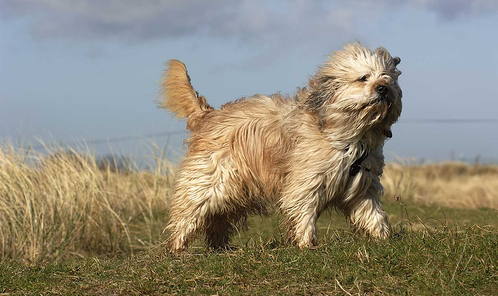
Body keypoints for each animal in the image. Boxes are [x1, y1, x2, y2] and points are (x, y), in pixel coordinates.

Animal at [158, 43, 402, 252]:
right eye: (363, 78)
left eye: (388, 78)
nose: (383, 89)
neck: (349, 133)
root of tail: (209, 114)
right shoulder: (307, 181)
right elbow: (304, 210)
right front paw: (306, 243)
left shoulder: (363, 182)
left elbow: (372, 211)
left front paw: (382, 236)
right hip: (210, 181)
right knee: (189, 211)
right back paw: (178, 246)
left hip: (234, 189)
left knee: (219, 219)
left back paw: (221, 248)